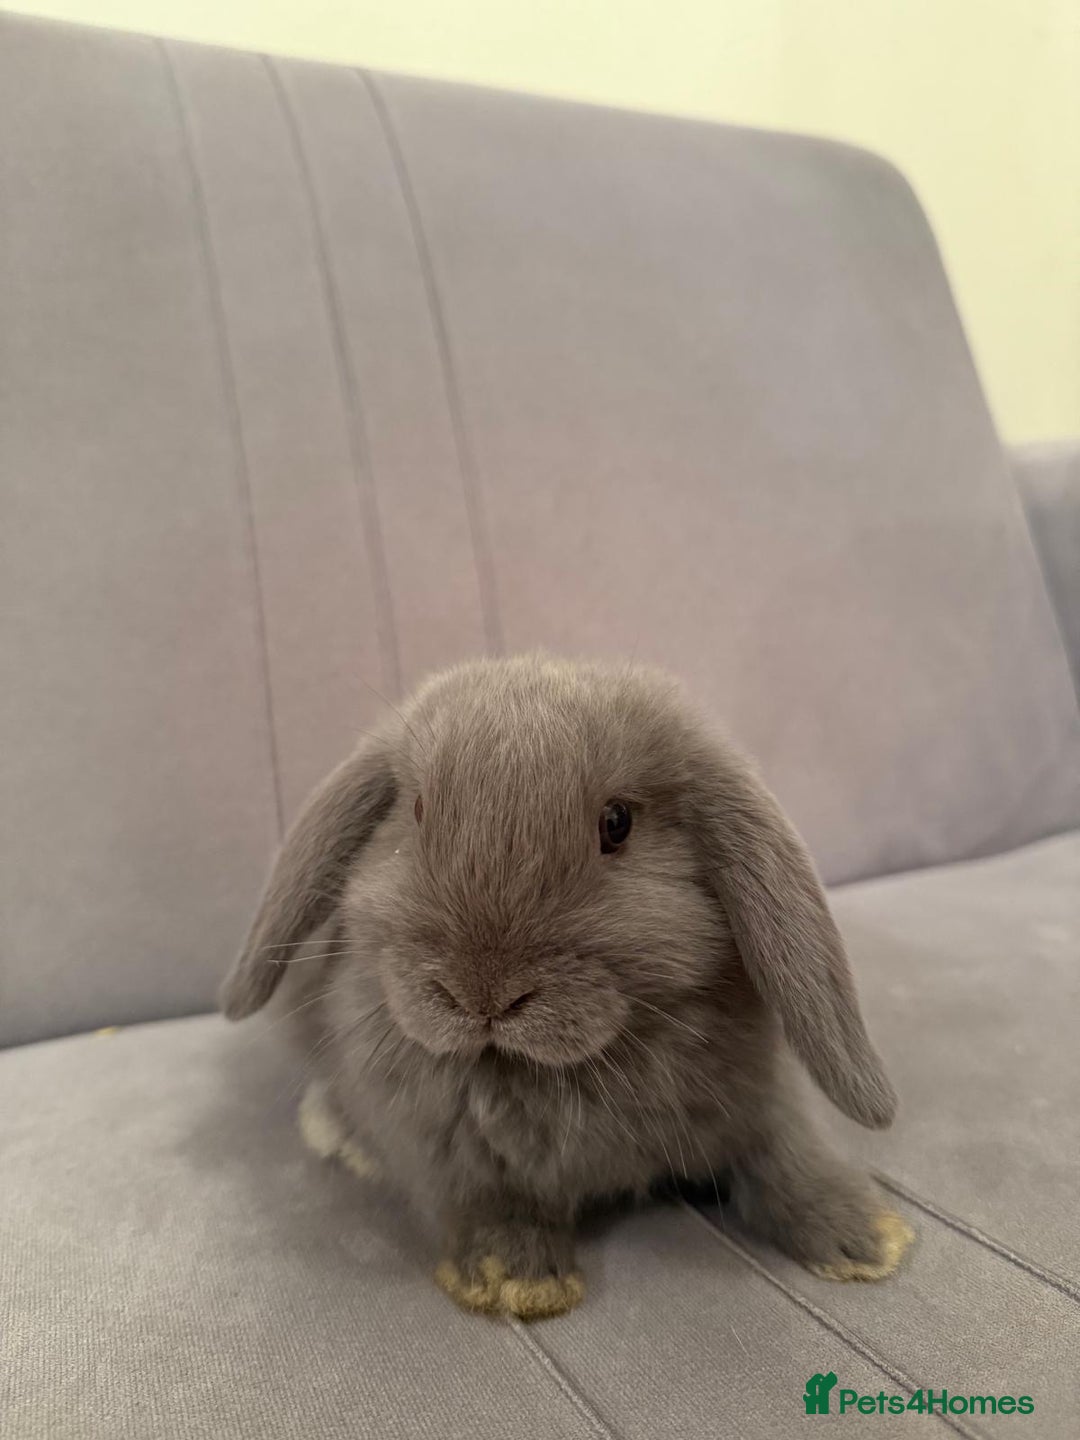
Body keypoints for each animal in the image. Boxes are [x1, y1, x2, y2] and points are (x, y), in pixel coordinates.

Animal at [221, 653, 914, 1319]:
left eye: (617, 823)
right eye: (416, 811)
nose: (482, 995)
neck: (559, 1073)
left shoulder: (762, 1101)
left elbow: (789, 1155)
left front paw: (866, 1238)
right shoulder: (446, 1151)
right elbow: (490, 1201)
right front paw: (513, 1280)